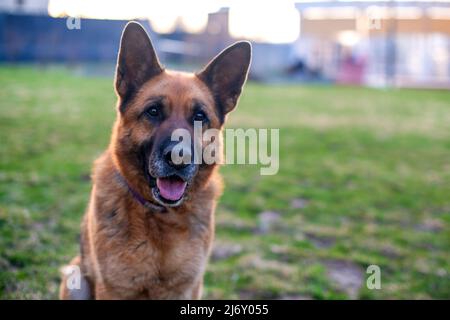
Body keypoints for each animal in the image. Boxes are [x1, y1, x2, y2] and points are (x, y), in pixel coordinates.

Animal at [58, 21, 251, 298]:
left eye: (200, 116)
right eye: (153, 111)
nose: (180, 158)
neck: (161, 216)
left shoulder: (187, 289)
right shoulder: (114, 289)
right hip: (75, 275)